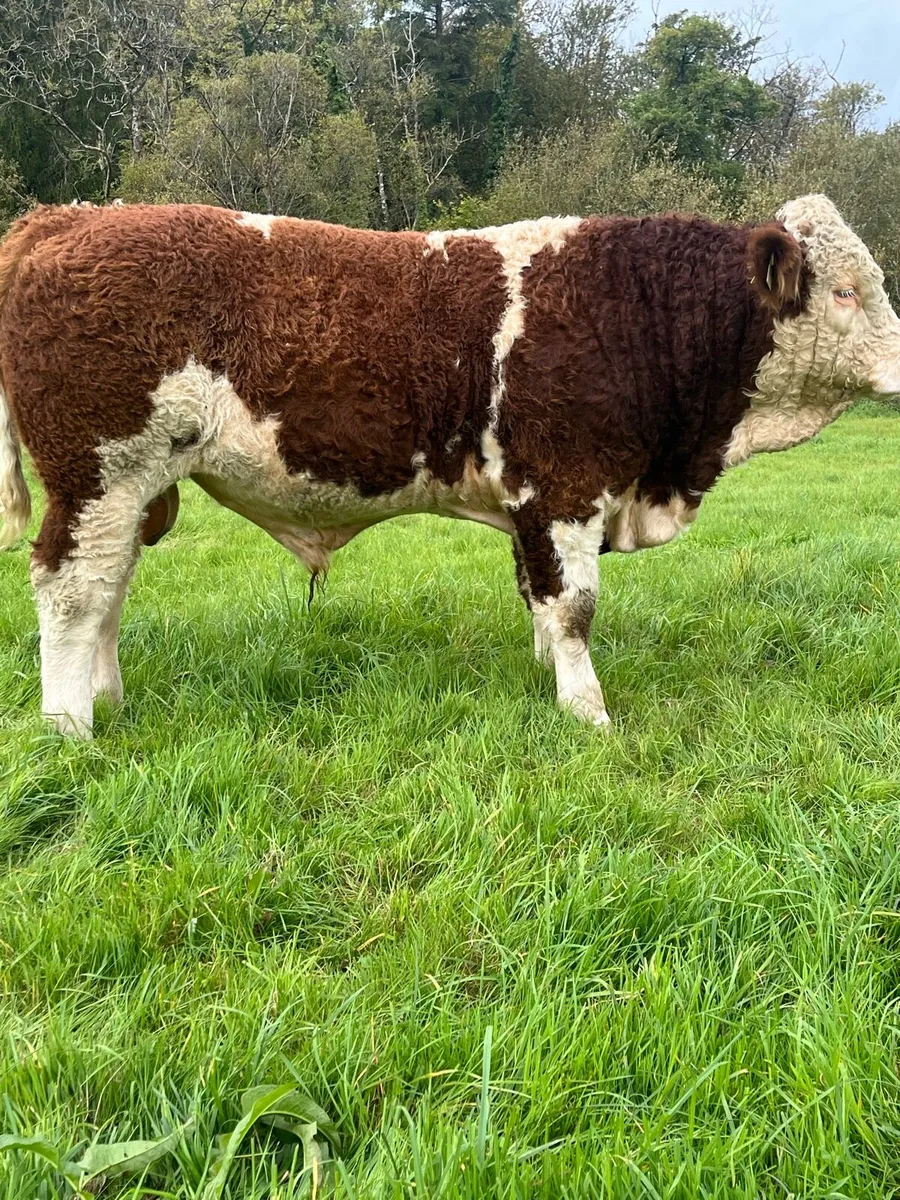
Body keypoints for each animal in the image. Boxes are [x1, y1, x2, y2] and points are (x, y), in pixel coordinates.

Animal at [1, 195, 899, 738]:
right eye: (846, 291)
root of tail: (64, 219)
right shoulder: (565, 484)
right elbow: (575, 607)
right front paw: (587, 712)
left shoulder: (533, 503)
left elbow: (537, 595)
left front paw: (546, 676)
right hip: (97, 474)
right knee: (71, 589)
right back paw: (71, 726)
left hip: (127, 490)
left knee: (108, 587)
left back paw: (108, 700)